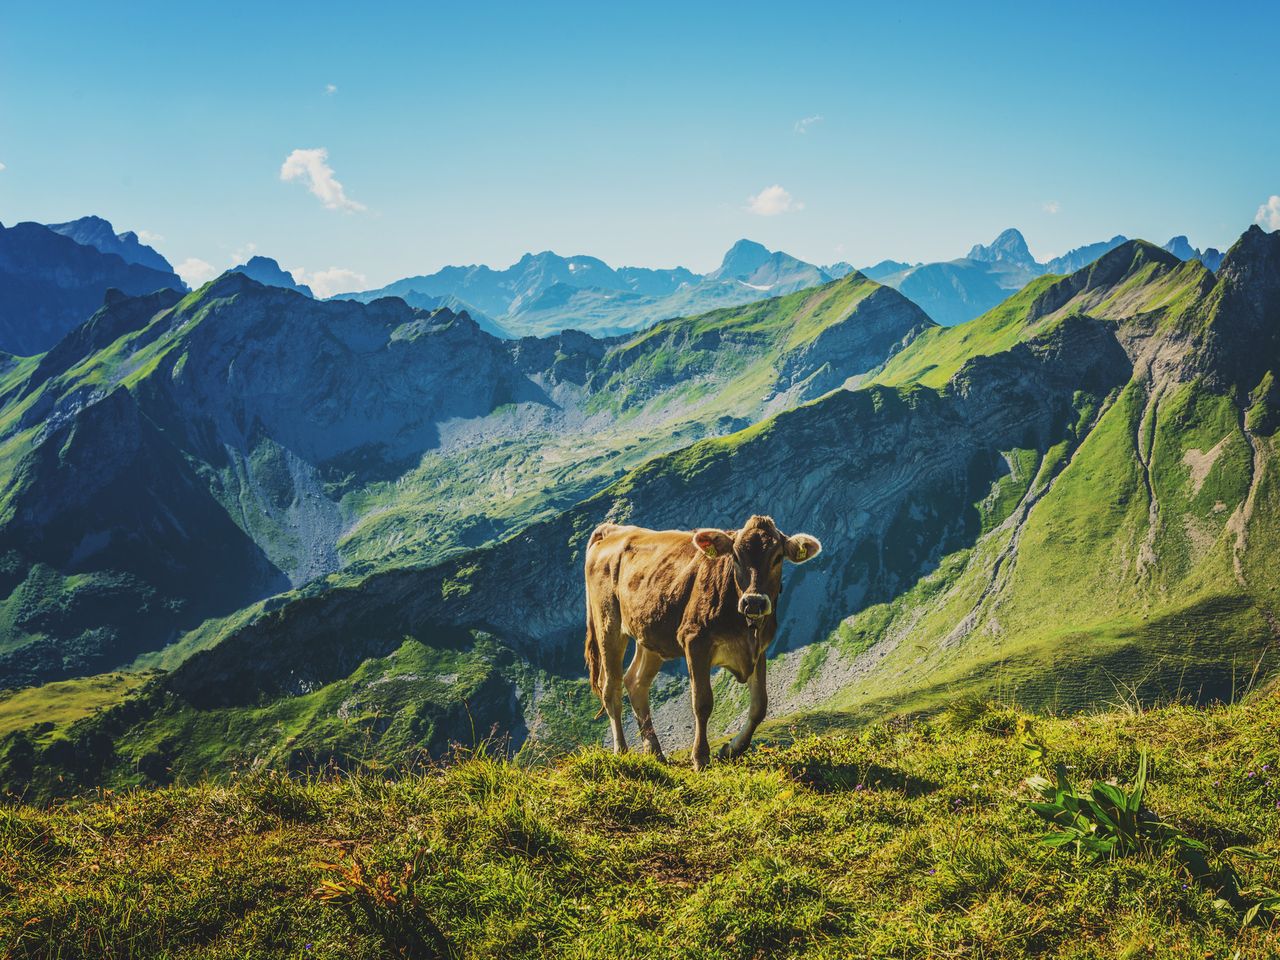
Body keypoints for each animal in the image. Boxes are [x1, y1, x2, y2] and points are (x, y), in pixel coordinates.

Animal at [586, 514, 824, 773]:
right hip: (608, 623)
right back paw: (622, 751)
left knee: (636, 683)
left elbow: (760, 705)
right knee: (611, 687)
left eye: (778, 557)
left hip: (650, 634)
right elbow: (702, 702)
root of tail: (613, 529)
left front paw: (731, 749)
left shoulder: (758, 649)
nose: (754, 602)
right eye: (735, 556)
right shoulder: (695, 641)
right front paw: (700, 758)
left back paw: (655, 752)